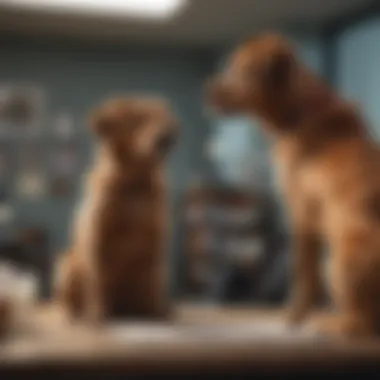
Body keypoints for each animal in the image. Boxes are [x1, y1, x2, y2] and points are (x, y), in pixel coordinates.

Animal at [55, 96, 178, 322]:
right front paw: (96, 315)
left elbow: (157, 280)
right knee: (67, 301)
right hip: (67, 263)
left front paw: (160, 312)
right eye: (139, 117)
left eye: (164, 116)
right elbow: (97, 282)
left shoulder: (157, 239)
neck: (134, 184)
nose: (169, 135)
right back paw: (75, 314)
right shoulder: (97, 238)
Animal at [208, 32, 380, 338]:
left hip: (342, 255)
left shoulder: (301, 211)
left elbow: (302, 275)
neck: (297, 113)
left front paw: (293, 318)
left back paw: (329, 323)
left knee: (362, 324)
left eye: (242, 70)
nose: (205, 90)